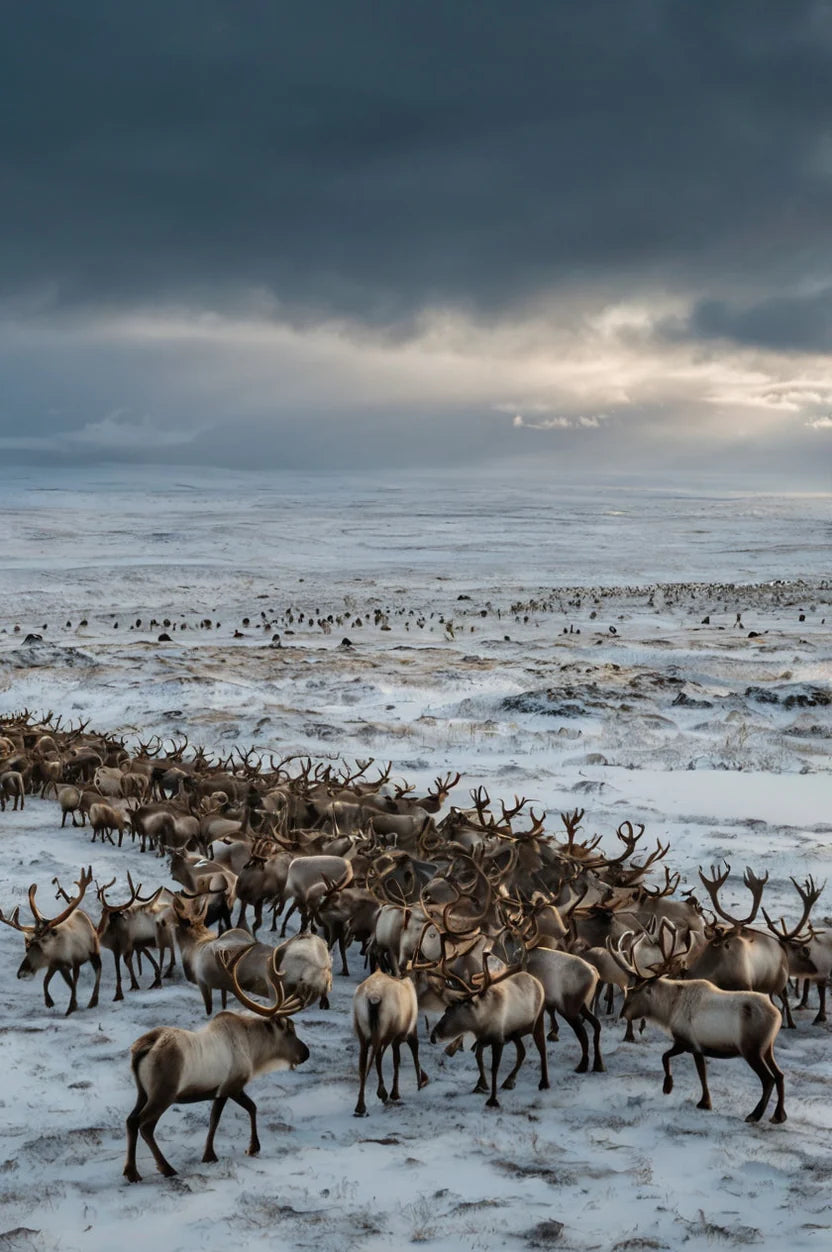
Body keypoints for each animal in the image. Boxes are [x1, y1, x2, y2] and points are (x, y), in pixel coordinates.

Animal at [0, 868, 102, 1014]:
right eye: (28, 945)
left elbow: (77, 983)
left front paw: (75, 1006)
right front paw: (52, 1002)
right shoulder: (57, 964)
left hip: (90, 956)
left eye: (42, 943)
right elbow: (51, 982)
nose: (21, 973)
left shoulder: (81, 959)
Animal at [124, 945, 310, 1181]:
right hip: (164, 1093)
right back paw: (166, 1168)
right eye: (289, 1030)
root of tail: (142, 1048)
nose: (305, 1053)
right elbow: (227, 1116)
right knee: (145, 1125)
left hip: (143, 1092)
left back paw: (131, 1171)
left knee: (130, 1120)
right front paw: (224, 1152)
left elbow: (239, 1111)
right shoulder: (230, 1086)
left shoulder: (222, 1089)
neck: (254, 1051)